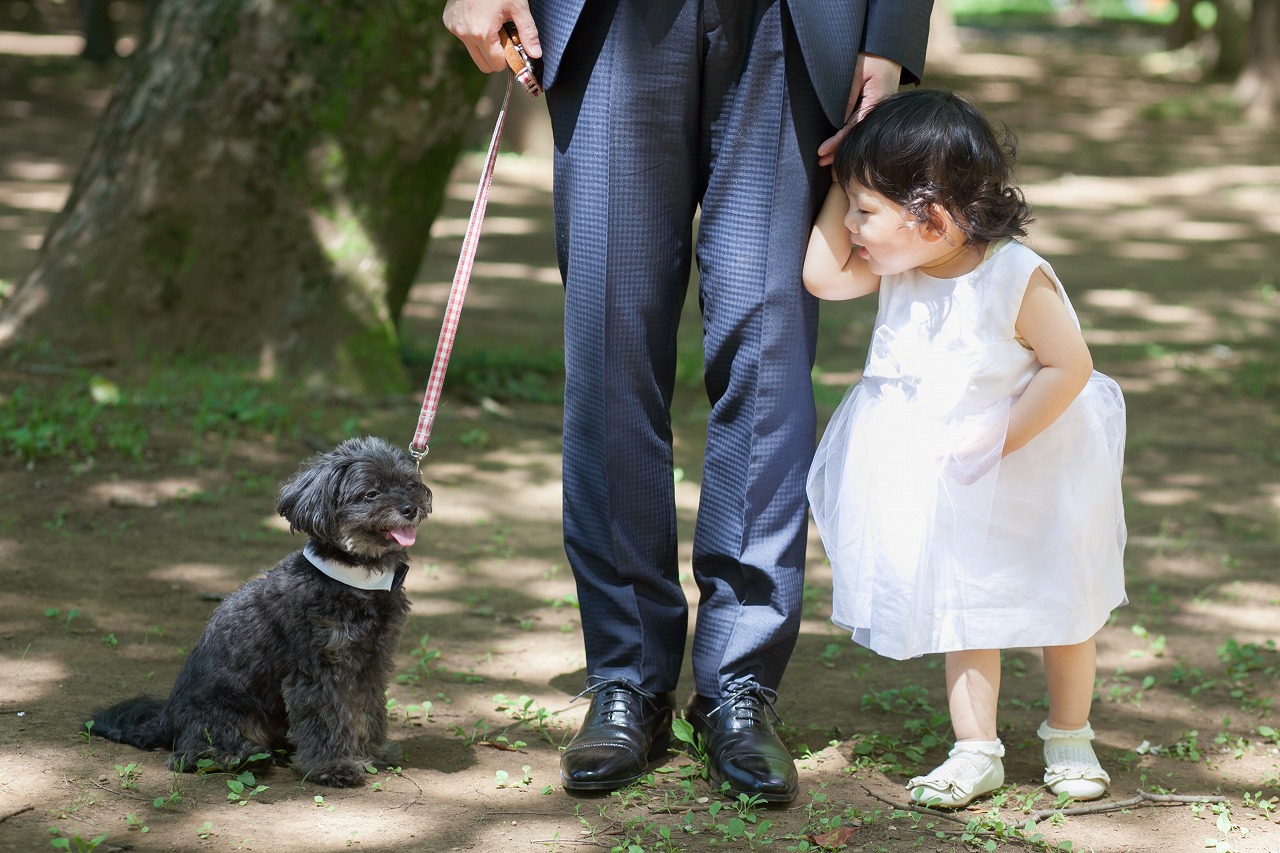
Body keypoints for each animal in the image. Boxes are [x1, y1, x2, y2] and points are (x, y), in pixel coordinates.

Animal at [88, 435, 435, 788]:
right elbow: (326, 718)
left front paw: (371, 753)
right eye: (370, 493)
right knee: (191, 755)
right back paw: (242, 758)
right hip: (225, 712)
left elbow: (365, 709)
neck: (352, 576)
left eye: (410, 485)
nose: (410, 509)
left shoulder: (371, 661)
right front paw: (333, 766)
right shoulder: (316, 668)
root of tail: (165, 721)